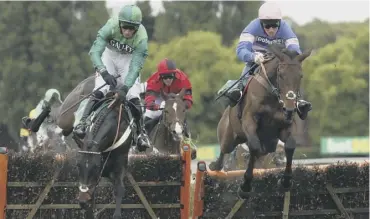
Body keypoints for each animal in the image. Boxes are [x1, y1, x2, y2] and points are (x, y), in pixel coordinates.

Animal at [210, 44, 310, 197]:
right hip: (229, 137)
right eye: (281, 74)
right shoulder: (249, 121)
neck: (272, 96)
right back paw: (215, 166)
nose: (289, 108)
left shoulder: (284, 126)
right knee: (224, 150)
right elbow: (254, 146)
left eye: (300, 76)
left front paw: (286, 181)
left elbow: (290, 146)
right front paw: (245, 186)